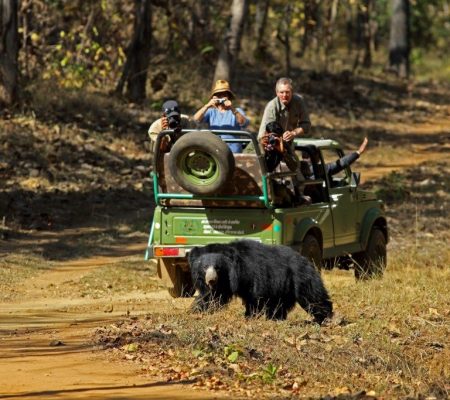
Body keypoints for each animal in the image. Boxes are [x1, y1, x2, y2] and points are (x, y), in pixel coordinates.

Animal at [188, 239, 332, 324]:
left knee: (313, 297)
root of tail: (305, 259)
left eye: (217, 267)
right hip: (284, 287)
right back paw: (276, 318)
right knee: (279, 305)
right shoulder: (224, 282)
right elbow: (213, 296)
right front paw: (195, 311)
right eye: (204, 267)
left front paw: (248, 316)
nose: (211, 280)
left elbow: (255, 297)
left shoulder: (254, 274)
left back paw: (322, 319)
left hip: (300, 278)